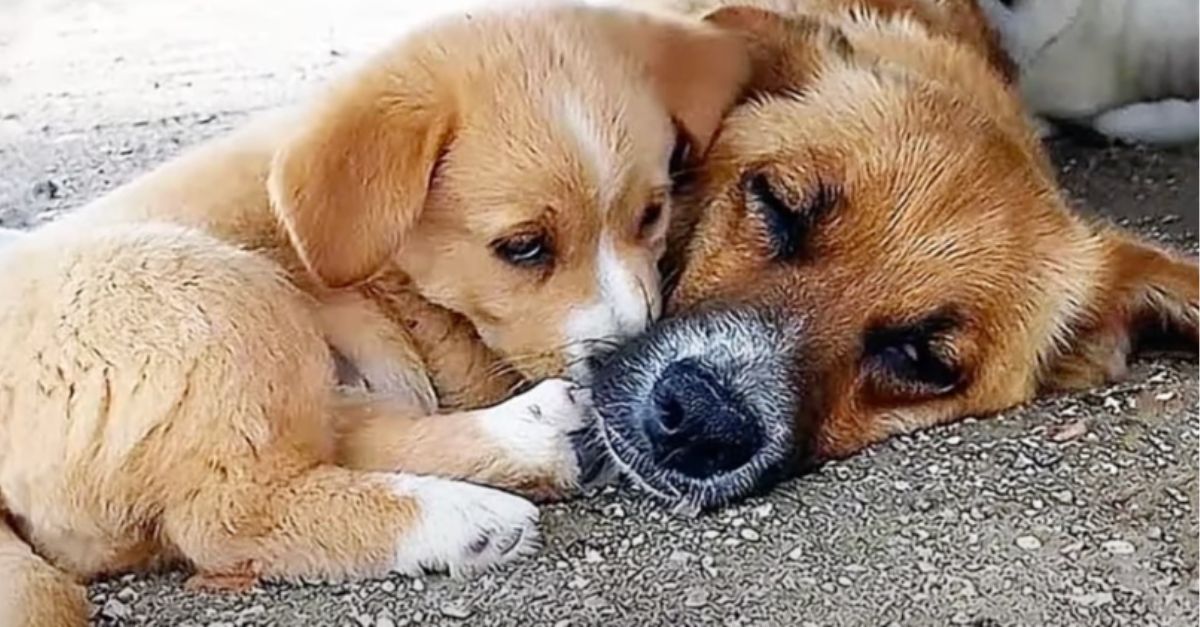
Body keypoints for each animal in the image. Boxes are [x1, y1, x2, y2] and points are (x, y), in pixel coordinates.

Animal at [0, 2, 748, 619]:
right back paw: (460, 516)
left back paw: (535, 439)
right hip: (218, 295)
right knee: (229, 516)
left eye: (651, 214)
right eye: (523, 246)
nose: (626, 363)